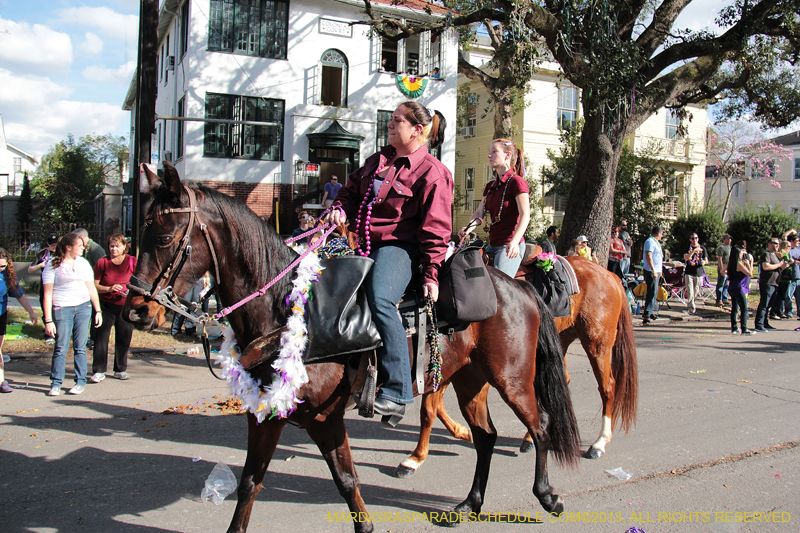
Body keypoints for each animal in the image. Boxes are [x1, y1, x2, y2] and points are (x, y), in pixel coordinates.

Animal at [122, 161, 580, 532]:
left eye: (164, 237)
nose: (135, 310)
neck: (286, 311)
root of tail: (517, 284)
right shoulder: (265, 415)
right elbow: (250, 482)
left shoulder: (325, 419)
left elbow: (346, 482)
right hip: (470, 379)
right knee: (485, 437)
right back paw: (469, 504)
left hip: (511, 378)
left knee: (540, 425)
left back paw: (547, 495)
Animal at [396, 256, 636, 476]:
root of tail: (609, 274)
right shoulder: (450, 368)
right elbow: (432, 408)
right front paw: (428, 451)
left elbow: (433, 407)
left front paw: (425, 452)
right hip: (562, 339)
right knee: (562, 381)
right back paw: (531, 438)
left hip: (597, 343)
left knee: (607, 387)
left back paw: (599, 443)